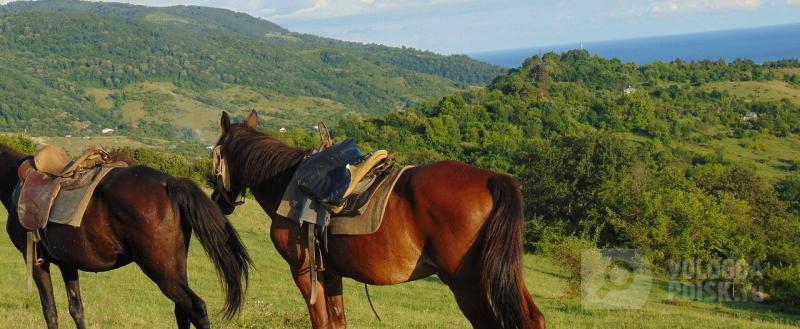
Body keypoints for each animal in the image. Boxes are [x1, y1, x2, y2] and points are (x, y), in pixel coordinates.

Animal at [0, 144, 252, 328]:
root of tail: (170, 182)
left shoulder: (35, 261)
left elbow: (50, 312)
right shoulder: (67, 263)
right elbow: (76, 309)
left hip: (161, 271)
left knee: (196, 308)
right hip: (175, 267)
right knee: (181, 310)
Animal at [211, 111, 544, 328]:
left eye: (215, 153)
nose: (218, 200)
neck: (287, 181)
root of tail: (493, 178)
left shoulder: (304, 272)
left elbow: (321, 322)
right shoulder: (331, 274)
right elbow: (337, 322)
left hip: (467, 285)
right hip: (504, 273)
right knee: (532, 319)